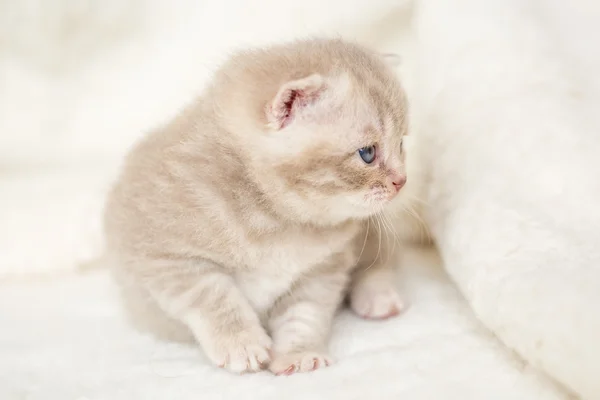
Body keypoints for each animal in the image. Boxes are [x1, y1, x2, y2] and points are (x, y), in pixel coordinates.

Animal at [105, 37, 410, 376]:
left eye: (401, 144)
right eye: (367, 153)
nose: (401, 180)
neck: (275, 218)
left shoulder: (322, 268)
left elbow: (304, 315)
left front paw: (299, 353)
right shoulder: (162, 253)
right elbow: (212, 296)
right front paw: (241, 343)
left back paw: (378, 295)